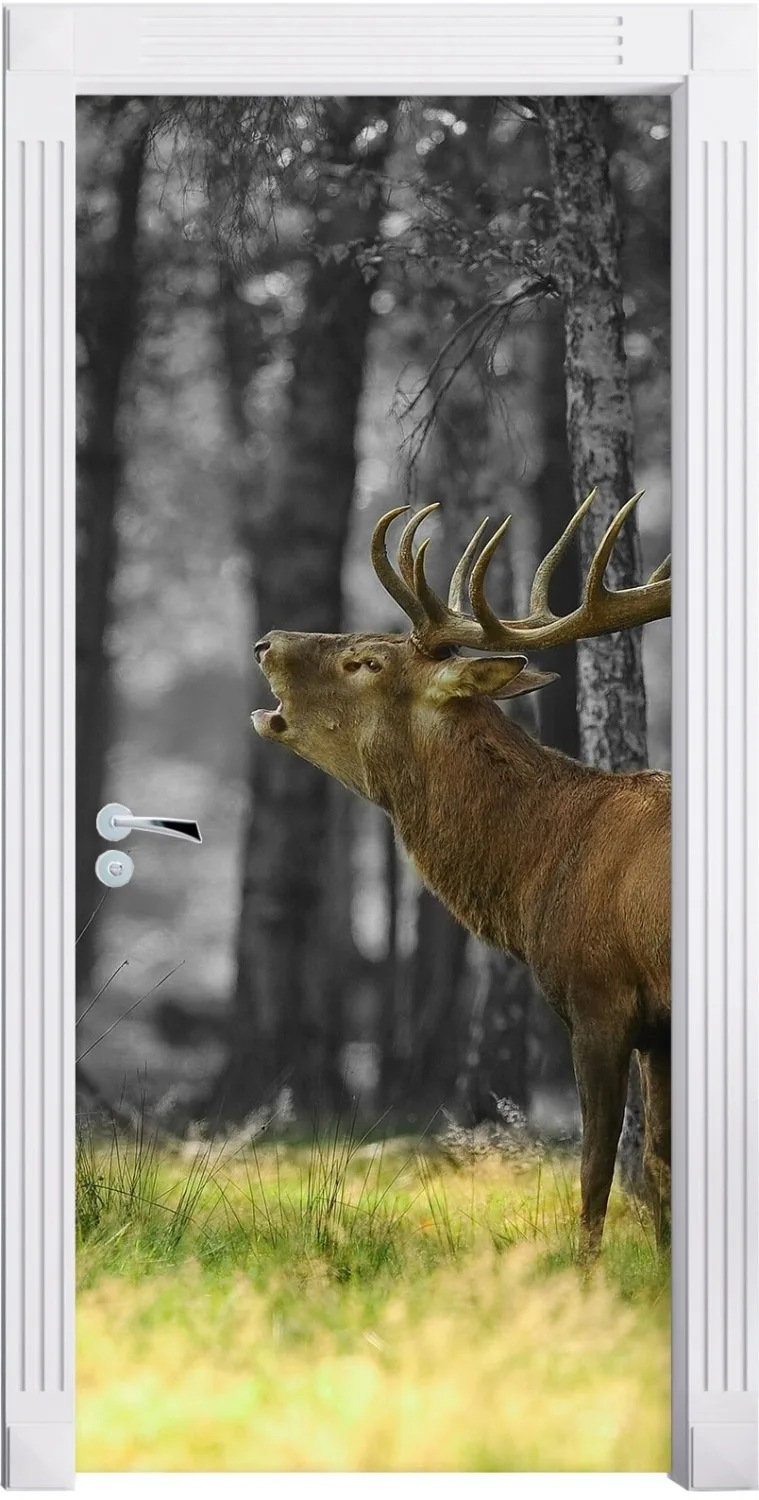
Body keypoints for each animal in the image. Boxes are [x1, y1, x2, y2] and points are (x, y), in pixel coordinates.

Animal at [252, 489, 671, 1256]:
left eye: (365, 662)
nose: (266, 642)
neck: (542, 868)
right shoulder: (656, 1022)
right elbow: (658, 1160)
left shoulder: (600, 992)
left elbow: (596, 1165)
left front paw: (586, 1272)